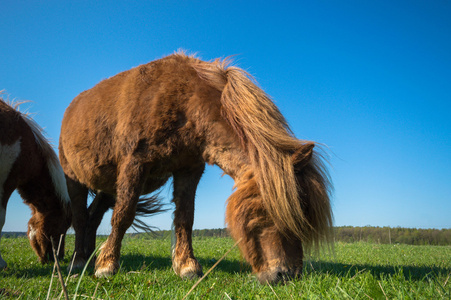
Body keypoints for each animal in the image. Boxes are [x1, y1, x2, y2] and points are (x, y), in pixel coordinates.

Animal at [60, 52, 334, 284]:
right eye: (275, 211)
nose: (287, 274)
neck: (182, 101)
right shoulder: (134, 165)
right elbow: (123, 215)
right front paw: (107, 265)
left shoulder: (189, 169)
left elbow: (185, 217)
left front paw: (186, 266)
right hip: (75, 179)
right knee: (81, 217)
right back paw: (79, 261)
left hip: (108, 187)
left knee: (93, 217)